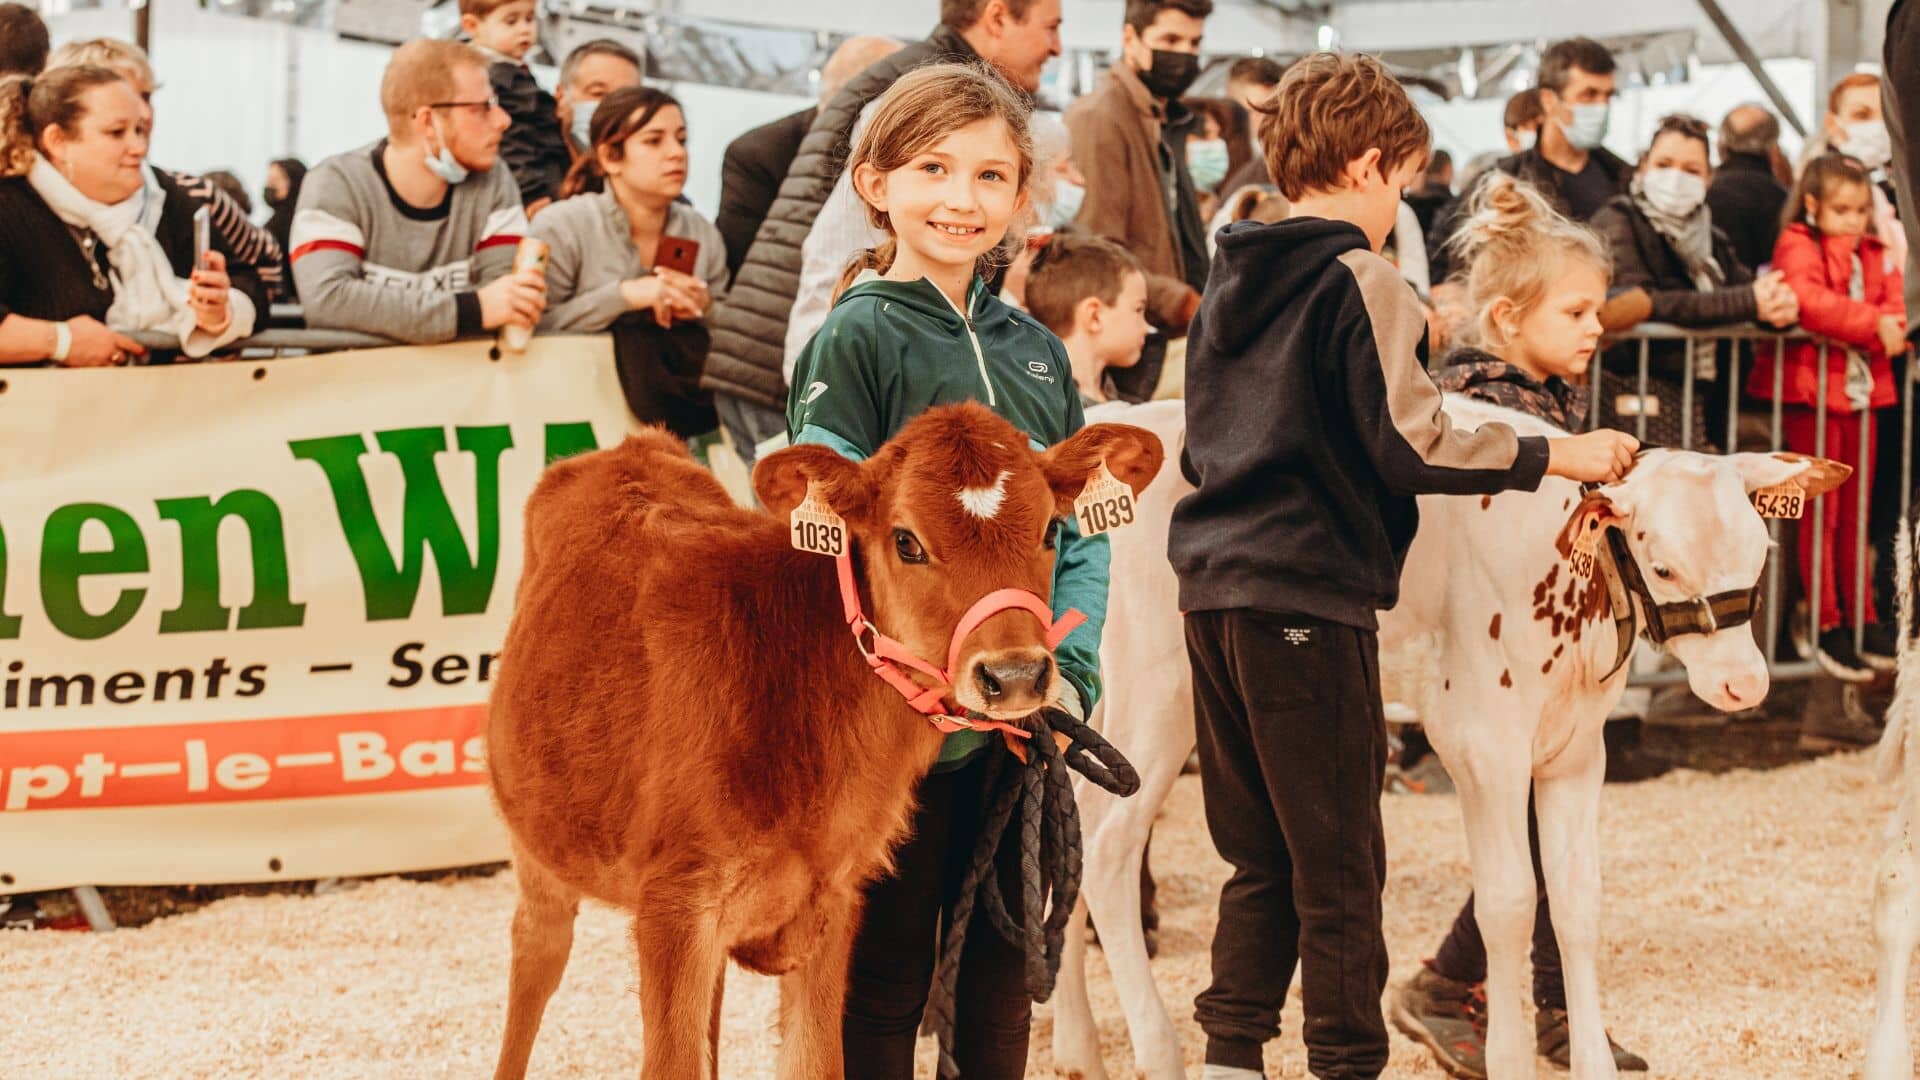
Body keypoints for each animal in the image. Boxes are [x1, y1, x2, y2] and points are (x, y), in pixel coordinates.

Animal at [487, 399, 1159, 1068]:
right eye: (906, 542)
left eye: (1049, 532)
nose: (1015, 674)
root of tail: (624, 449)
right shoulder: (673, 910)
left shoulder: (833, 899)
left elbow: (815, 1059)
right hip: (538, 852)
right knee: (534, 958)